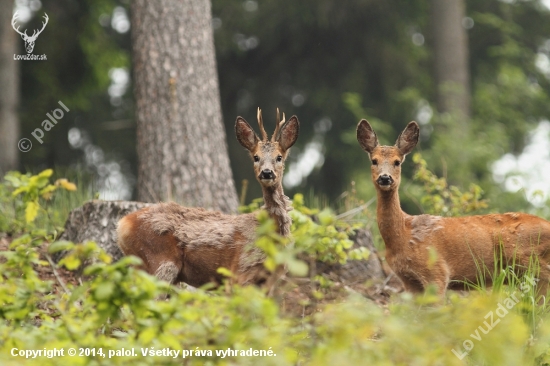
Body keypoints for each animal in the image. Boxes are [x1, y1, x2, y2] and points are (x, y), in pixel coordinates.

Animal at [115, 109, 300, 288]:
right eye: (256, 157)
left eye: (279, 157)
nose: (267, 173)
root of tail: (122, 224)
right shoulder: (239, 271)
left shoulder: (272, 280)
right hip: (161, 261)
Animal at [358, 120, 550, 298]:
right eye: (374, 161)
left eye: (397, 162)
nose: (385, 178)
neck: (404, 234)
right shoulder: (409, 280)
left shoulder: (437, 271)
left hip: (528, 259)